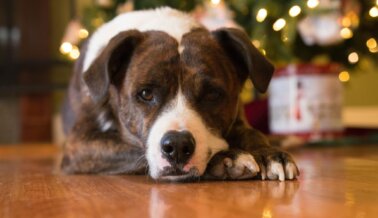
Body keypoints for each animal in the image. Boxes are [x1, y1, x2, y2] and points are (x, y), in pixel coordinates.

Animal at [61, 6, 298, 181]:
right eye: (146, 93)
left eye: (212, 94)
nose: (176, 145)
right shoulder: (79, 145)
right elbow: (135, 149)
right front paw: (227, 158)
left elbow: (252, 133)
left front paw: (269, 155)